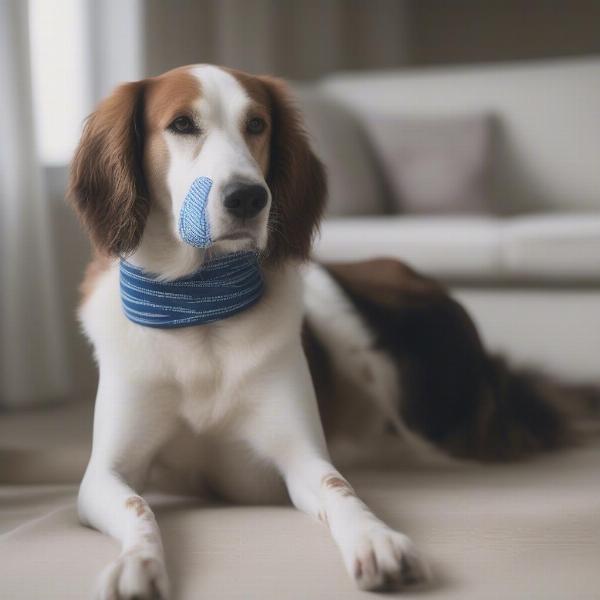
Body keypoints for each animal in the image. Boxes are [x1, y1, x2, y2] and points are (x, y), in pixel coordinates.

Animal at [70, 63, 592, 596]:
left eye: (256, 124)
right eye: (181, 124)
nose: (248, 197)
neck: (200, 308)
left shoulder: (298, 459)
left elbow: (340, 489)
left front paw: (377, 541)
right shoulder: (104, 474)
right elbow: (137, 506)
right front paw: (137, 561)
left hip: (353, 324)